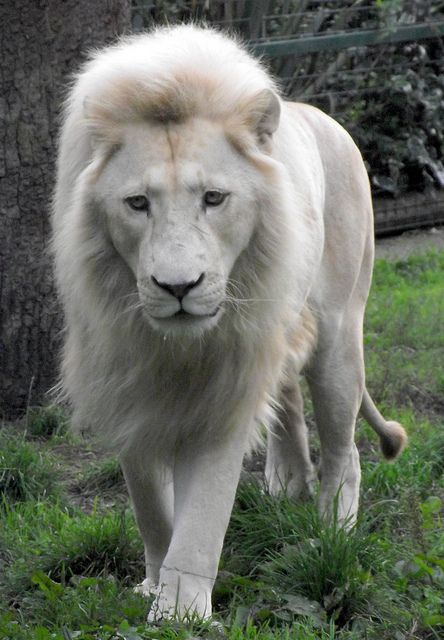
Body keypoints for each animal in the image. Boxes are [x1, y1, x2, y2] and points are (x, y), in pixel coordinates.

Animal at [52, 25, 406, 620]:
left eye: (214, 198)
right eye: (137, 203)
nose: (178, 287)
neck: (172, 346)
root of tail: (325, 118)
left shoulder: (227, 383)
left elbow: (203, 516)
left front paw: (179, 611)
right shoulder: (126, 380)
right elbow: (150, 505)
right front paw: (154, 583)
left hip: (338, 338)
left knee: (345, 450)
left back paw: (333, 531)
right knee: (290, 411)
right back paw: (287, 486)